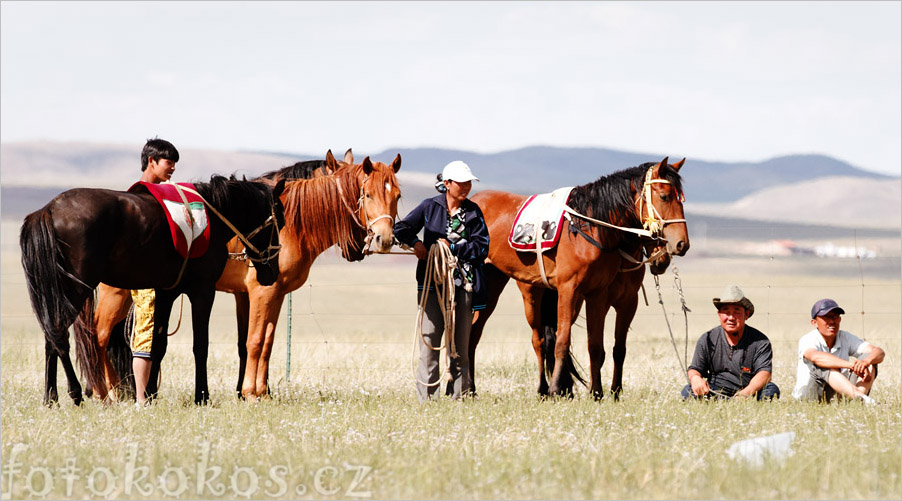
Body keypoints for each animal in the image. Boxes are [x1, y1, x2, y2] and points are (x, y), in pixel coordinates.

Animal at [21, 175, 284, 402]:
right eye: (279, 221)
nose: (273, 273)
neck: (214, 217)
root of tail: (49, 209)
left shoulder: (166, 292)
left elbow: (158, 346)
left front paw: (148, 395)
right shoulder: (203, 291)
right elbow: (200, 346)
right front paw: (202, 396)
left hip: (57, 292)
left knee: (51, 338)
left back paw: (51, 397)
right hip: (75, 289)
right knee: (59, 334)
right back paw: (75, 393)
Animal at [470, 158, 688, 396]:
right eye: (665, 196)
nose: (681, 244)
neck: (592, 230)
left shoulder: (607, 297)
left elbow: (600, 346)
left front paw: (600, 393)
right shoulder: (569, 290)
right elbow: (562, 342)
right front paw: (557, 389)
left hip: (493, 285)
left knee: (474, 332)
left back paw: (470, 389)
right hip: (531, 296)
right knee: (537, 340)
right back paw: (542, 388)